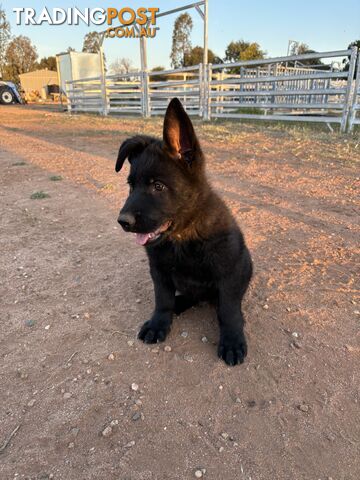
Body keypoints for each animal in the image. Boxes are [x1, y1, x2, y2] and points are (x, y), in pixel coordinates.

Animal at [115, 99, 253, 366]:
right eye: (131, 186)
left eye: (158, 186)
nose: (122, 221)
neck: (183, 237)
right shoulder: (158, 271)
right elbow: (162, 300)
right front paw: (158, 324)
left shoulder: (229, 273)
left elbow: (229, 311)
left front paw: (232, 341)